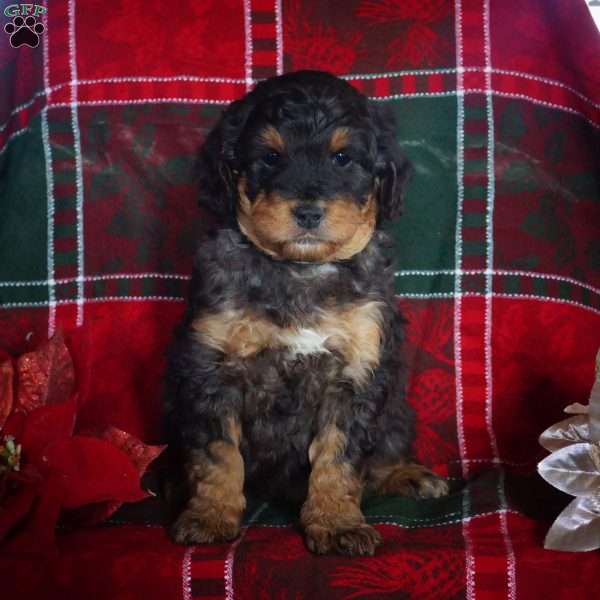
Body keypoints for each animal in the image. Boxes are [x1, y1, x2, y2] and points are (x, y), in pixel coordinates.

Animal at [164, 71, 446, 556]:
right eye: (271, 157)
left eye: (342, 158)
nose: (309, 213)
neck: (300, 270)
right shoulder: (210, 369)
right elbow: (218, 455)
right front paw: (210, 515)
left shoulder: (356, 372)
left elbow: (339, 457)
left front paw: (335, 522)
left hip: (398, 409)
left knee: (386, 449)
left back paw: (407, 474)